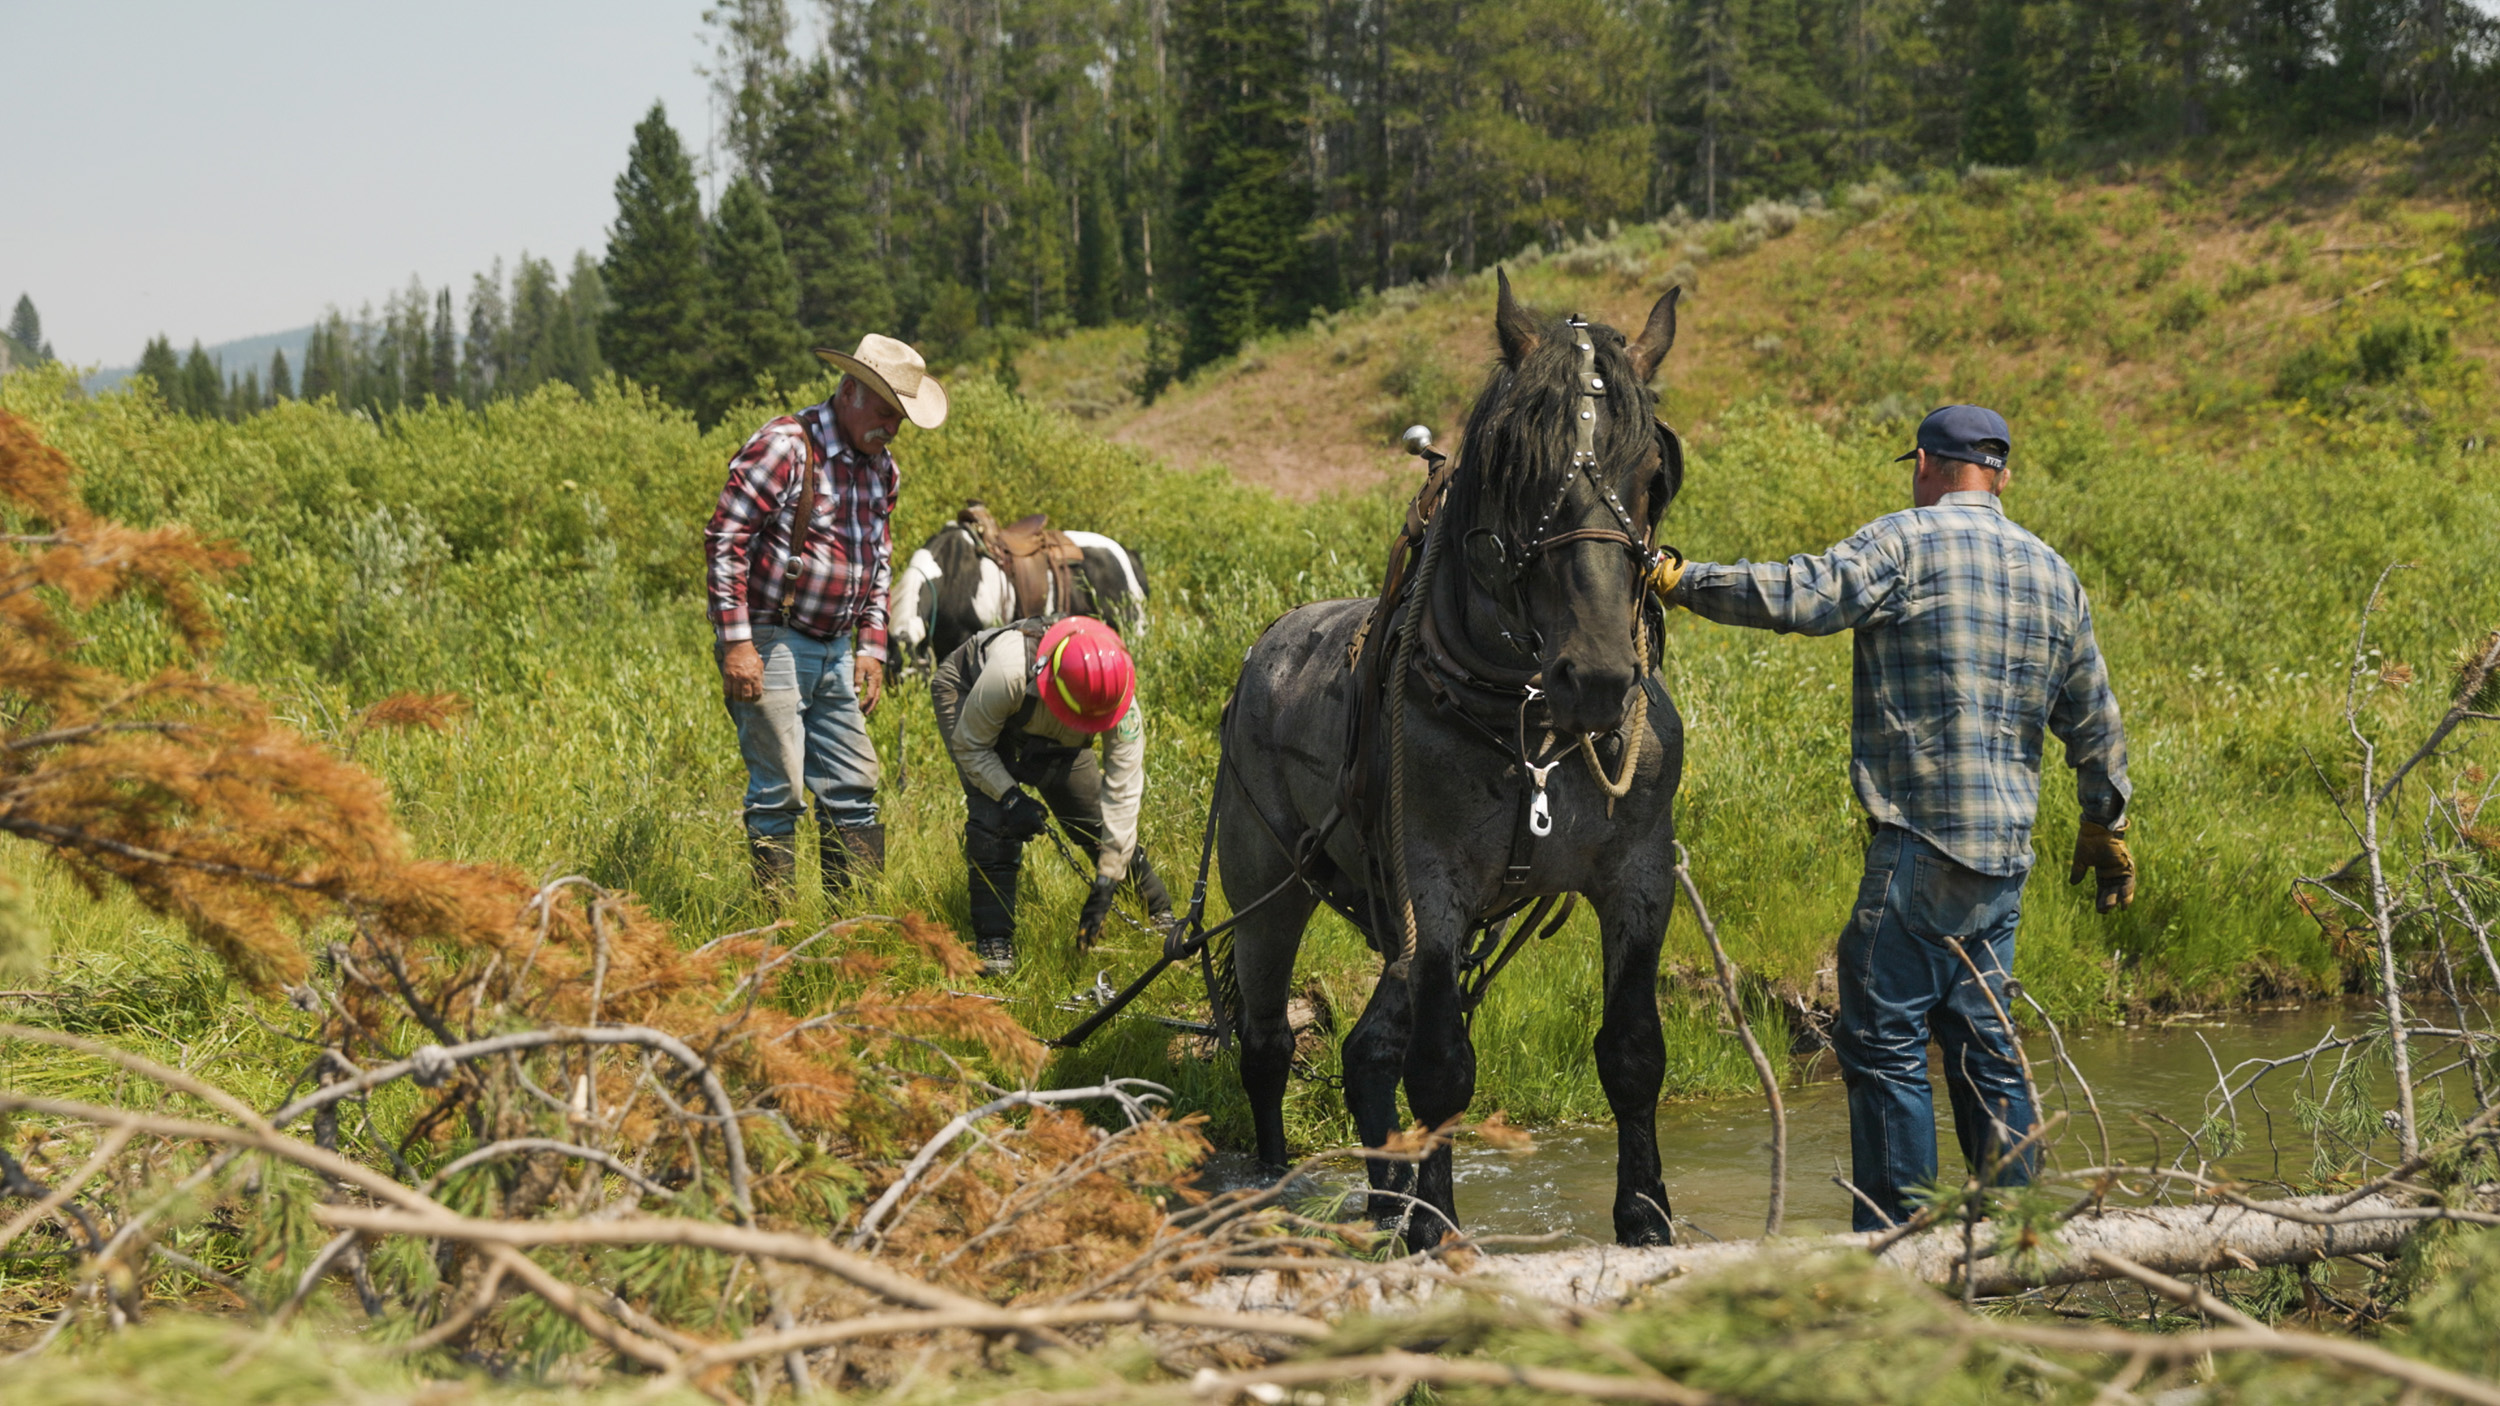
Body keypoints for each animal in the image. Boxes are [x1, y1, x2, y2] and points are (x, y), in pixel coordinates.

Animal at [1216, 273, 1687, 1250]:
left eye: (1653, 471)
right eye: (1515, 465)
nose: (1596, 677)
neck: (1529, 725)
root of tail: (1267, 644)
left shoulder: (1639, 875)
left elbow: (1631, 1053)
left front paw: (1646, 1216)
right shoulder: (1431, 890)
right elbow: (1439, 1069)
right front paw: (1437, 1227)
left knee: (1364, 1052)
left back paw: (1382, 1198)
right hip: (1266, 889)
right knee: (1269, 1044)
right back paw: (1279, 1185)